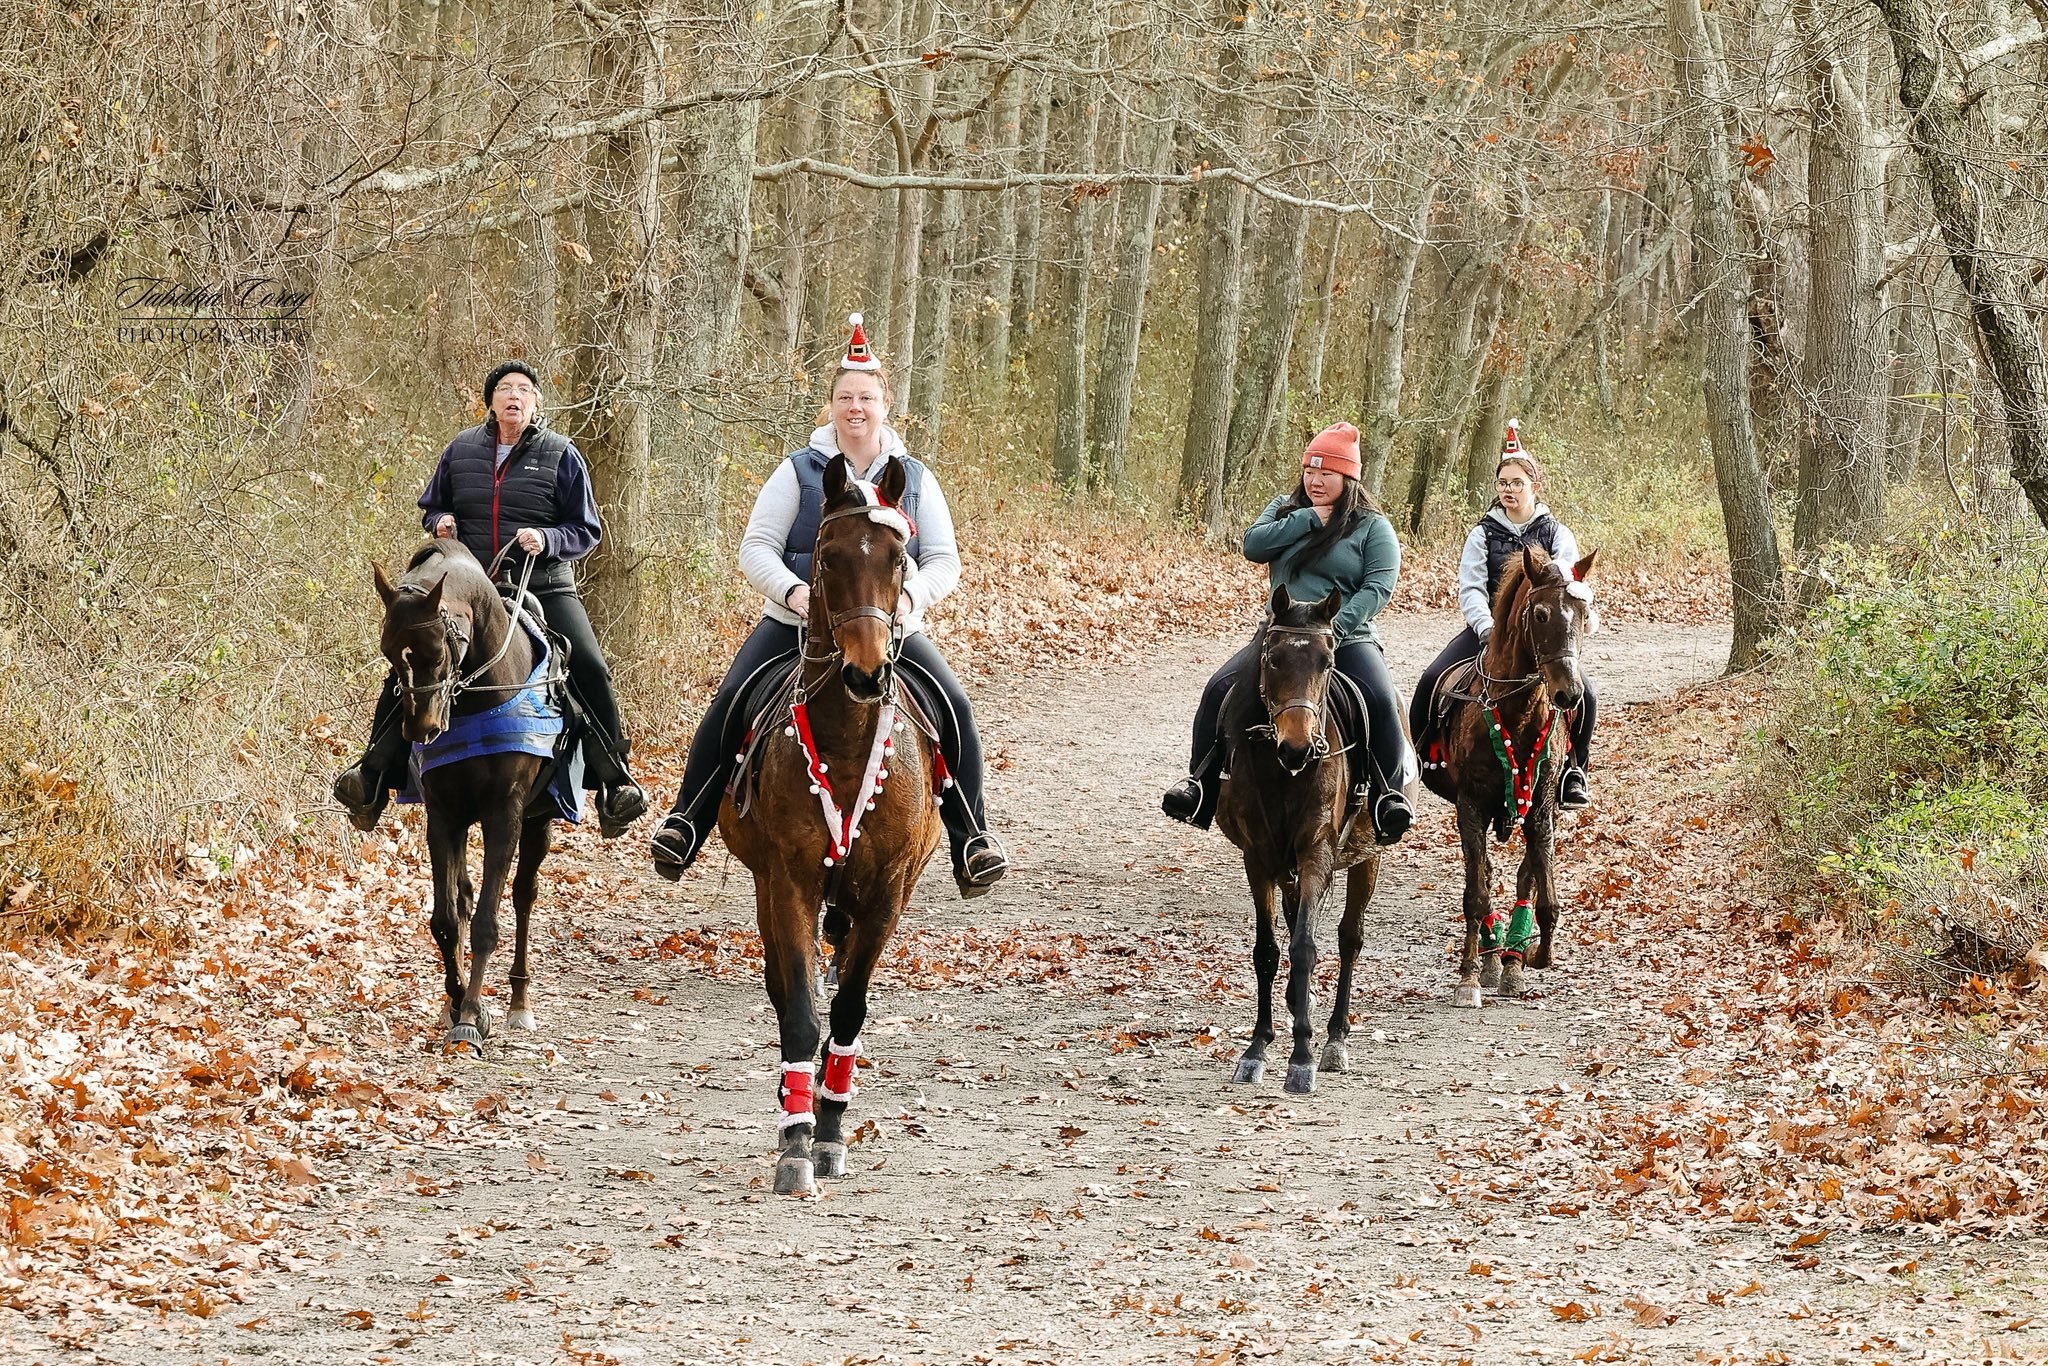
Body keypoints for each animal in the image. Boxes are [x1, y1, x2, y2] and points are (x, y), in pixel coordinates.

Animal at [373, 539, 558, 1053]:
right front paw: (456, 1002)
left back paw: (519, 1003)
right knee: (464, 896)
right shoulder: (444, 817)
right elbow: (446, 919)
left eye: (438, 651)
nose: (422, 727)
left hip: (537, 823)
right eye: (389, 654)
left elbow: (486, 923)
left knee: (523, 896)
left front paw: (473, 1016)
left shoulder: (505, 815)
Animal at [719, 453, 944, 1196]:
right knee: (785, 983)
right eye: (825, 556)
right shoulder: (788, 881)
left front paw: (830, 1132)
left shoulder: (888, 892)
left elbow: (848, 1008)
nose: (866, 672)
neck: (846, 746)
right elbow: (798, 1006)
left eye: (900, 558)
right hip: (769, 885)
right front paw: (795, 1144)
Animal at [1214, 585, 1414, 1096]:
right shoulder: (1258, 858)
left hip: (1367, 857)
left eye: (1327, 661)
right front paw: (1256, 1049)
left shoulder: (1317, 856)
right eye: (1273, 658)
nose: (1298, 747)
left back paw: (1335, 1040)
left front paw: (1301, 1056)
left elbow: (1305, 949)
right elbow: (1268, 950)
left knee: (1349, 939)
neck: (1283, 773)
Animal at [1420, 544, 1597, 1007]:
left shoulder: (1541, 808)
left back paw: (1512, 960)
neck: (1515, 711)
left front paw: (1533, 956)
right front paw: (1468, 977)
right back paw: (1489, 958)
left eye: (1583, 611)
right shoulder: (1470, 808)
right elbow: (1476, 893)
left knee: (1523, 878)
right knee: (1483, 875)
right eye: (1541, 614)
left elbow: (1545, 898)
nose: (1568, 694)